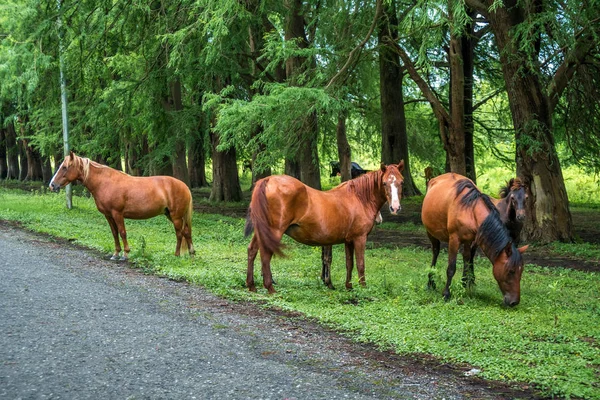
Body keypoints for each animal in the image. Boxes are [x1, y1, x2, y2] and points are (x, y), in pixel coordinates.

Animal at [50, 151, 195, 260]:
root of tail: (184, 186)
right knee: (186, 232)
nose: (52, 185)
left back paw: (177, 254)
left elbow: (122, 232)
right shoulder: (108, 215)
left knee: (179, 234)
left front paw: (125, 254)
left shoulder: (117, 213)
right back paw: (191, 253)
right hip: (170, 215)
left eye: (65, 167)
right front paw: (116, 253)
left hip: (176, 217)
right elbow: (114, 233)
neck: (105, 183)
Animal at [246, 160, 406, 294]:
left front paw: (349, 286)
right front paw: (363, 289)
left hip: (262, 231)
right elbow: (360, 264)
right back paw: (270, 287)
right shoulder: (360, 238)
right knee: (265, 254)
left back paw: (251, 285)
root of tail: (268, 180)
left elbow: (349, 263)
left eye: (401, 182)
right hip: (274, 231)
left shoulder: (348, 240)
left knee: (252, 250)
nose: (395, 208)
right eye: (384, 183)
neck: (359, 198)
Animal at [420, 172, 528, 306]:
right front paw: (446, 294)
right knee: (435, 252)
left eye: (521, 271)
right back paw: (431, 283)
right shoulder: (454, 240)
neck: (470, 210)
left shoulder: (469, 240)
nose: (514, 302)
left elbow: (467, 261)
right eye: (511, 271)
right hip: (430, 232)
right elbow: (451, 268)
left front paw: (463, 287)